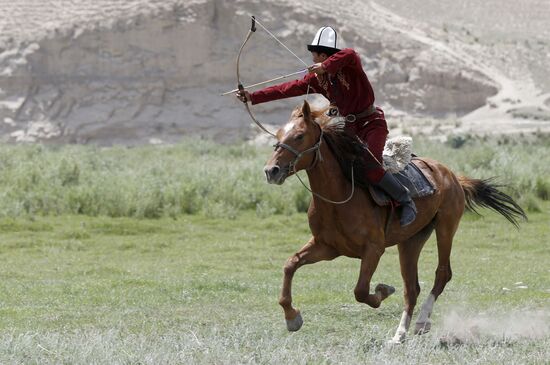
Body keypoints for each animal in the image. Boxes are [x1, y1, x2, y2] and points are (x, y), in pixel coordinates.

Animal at [266, 99, 528, 342]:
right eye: (278, 134)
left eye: (299, 135)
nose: (271, 171)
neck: (339, 196)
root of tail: (452, 175)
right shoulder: (327, 247)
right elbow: (290, 264)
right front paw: (292, 317)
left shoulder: (373, 250)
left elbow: (361, 291)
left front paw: (383, 290)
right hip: (411, 241)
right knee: (411, 288)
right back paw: (400, 334)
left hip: (446, 228)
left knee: (442, 274)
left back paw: (421, 321)